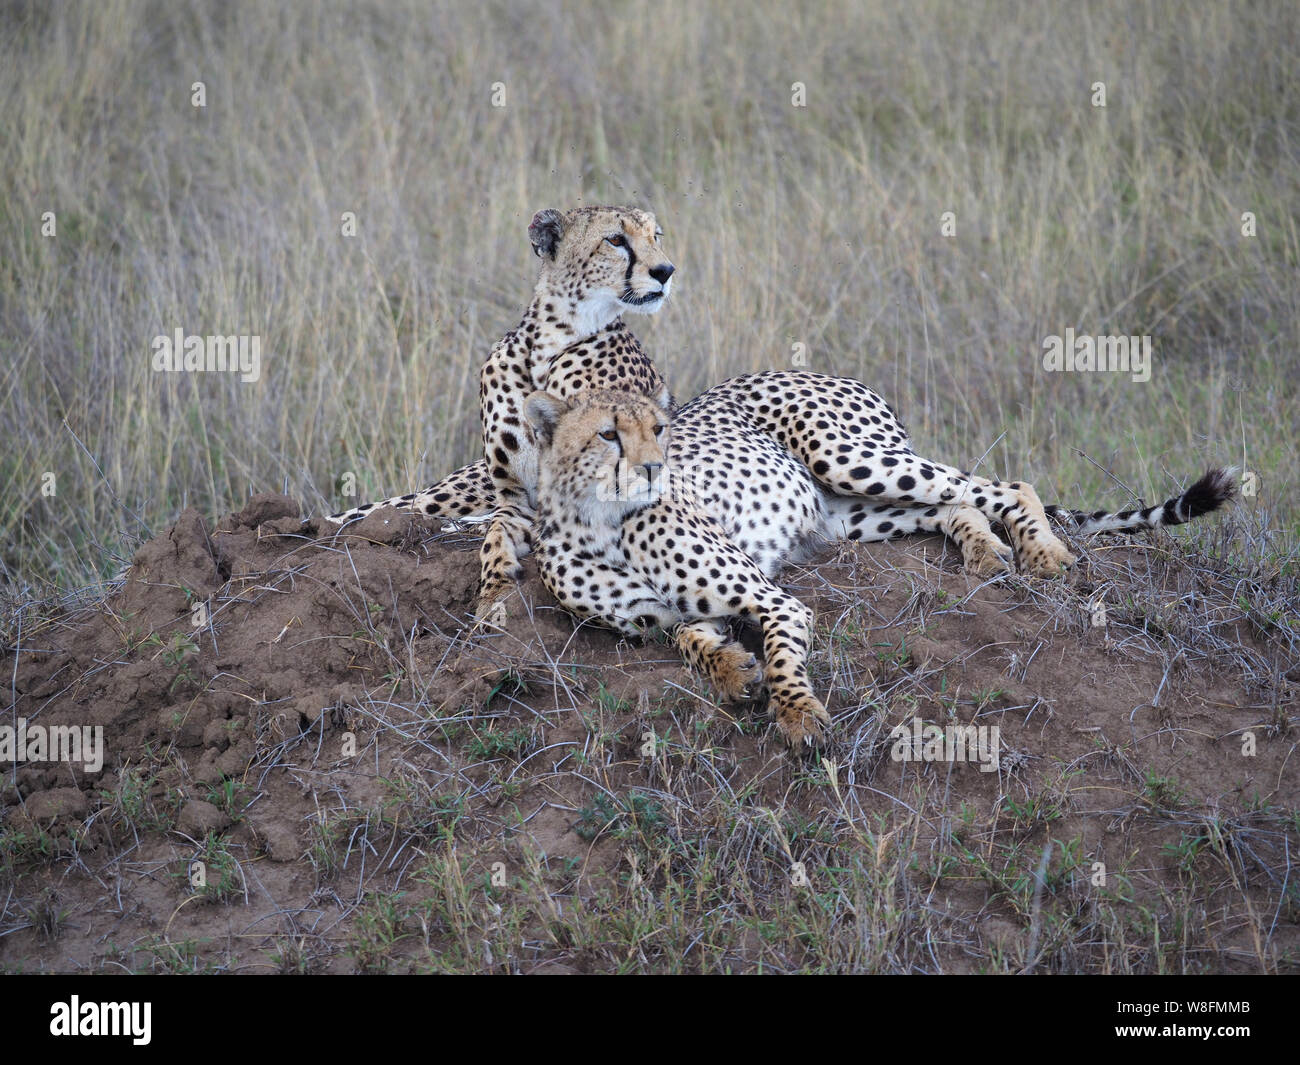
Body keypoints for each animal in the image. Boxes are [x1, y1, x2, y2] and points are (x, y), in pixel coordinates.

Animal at [522, 387, 1232, 743]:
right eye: (608, 433)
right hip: (845, 513)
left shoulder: (772, 599)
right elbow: (689, 638)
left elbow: (781, 651)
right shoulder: (670, 616)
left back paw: (1045, 551)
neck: (599, 521)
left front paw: (797, 715)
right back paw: (983, 548)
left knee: (1001, 484)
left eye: (661, 430)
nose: (652, 469)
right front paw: (730, 668)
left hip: (848, 457)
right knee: (952, 503)